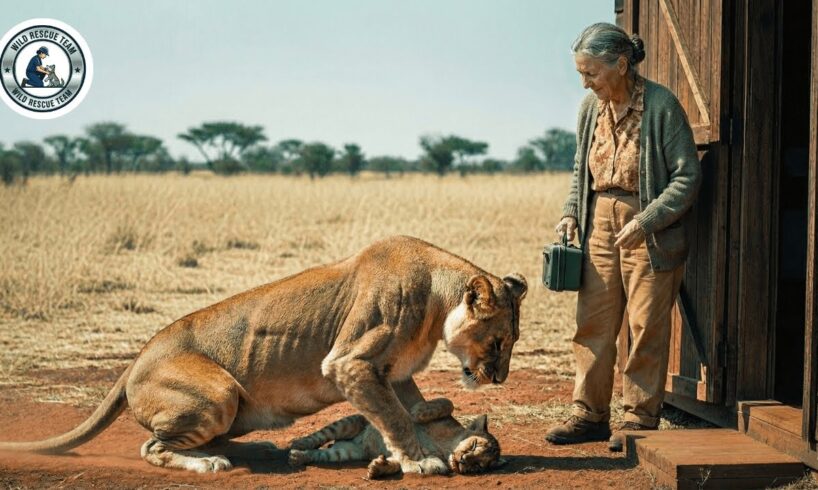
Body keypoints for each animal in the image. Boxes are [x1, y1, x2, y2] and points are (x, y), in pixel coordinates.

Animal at [288, 398, 502, 479]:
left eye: (478, 466)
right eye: (474, 445)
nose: (464, 460)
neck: (446, 449)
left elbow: (403, 463)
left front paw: (378, 468)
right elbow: (446, 403)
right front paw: (418, 411)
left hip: (345, 452)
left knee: (321, 454)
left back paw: (298, 457)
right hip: (350, 422)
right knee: (318, 436)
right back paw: (297, 443)